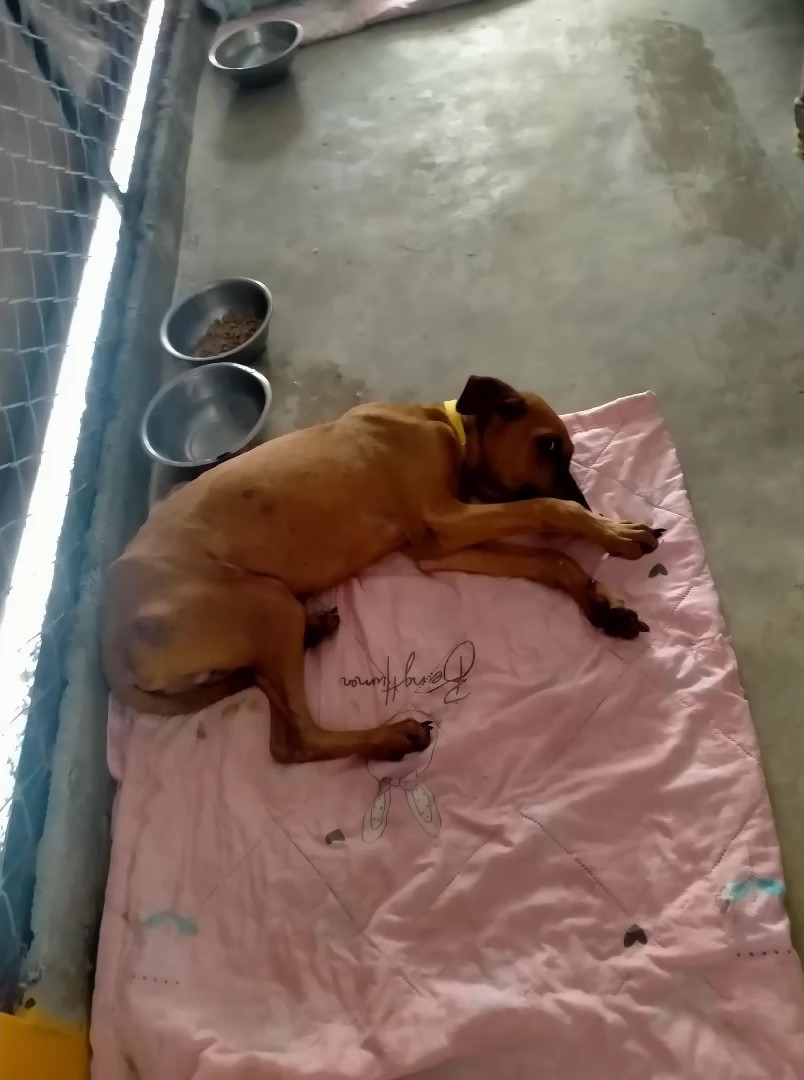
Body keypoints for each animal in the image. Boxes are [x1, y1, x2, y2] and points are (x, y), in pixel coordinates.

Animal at [103, 375, 661, 764]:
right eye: (548, 446)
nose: (588, 503)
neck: (445, 428)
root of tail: (109, 639)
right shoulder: (444, 523)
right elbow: (547, 509)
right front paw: (612, 532)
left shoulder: (439, 547)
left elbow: (550, 558)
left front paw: (600, 602)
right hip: (265, 602)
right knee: (294, 742)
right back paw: (390, 736)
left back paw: (314, 630)